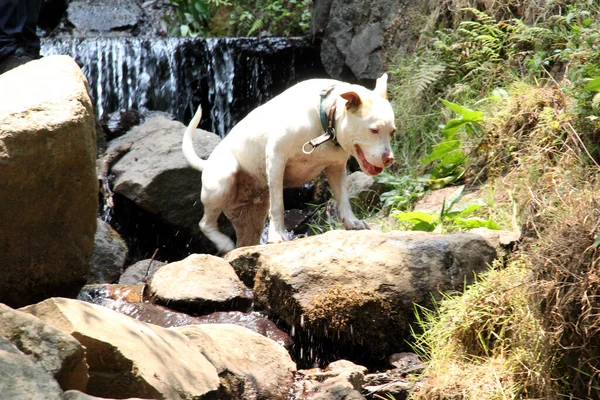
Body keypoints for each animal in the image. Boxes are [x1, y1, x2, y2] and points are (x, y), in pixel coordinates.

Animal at [183, 74, 398, 255]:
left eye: (393, 132)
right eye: (374, 130)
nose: (389, 159)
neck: (325, 115)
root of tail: (207, 163)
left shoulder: (336, 168)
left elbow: (343, 198)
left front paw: (352, 222)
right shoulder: (276, 160)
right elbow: (278, 204)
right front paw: (278, 235)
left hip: (249, 215)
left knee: (244, 238)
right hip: (223, 180)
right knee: (205, 223)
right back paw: (223, 242)